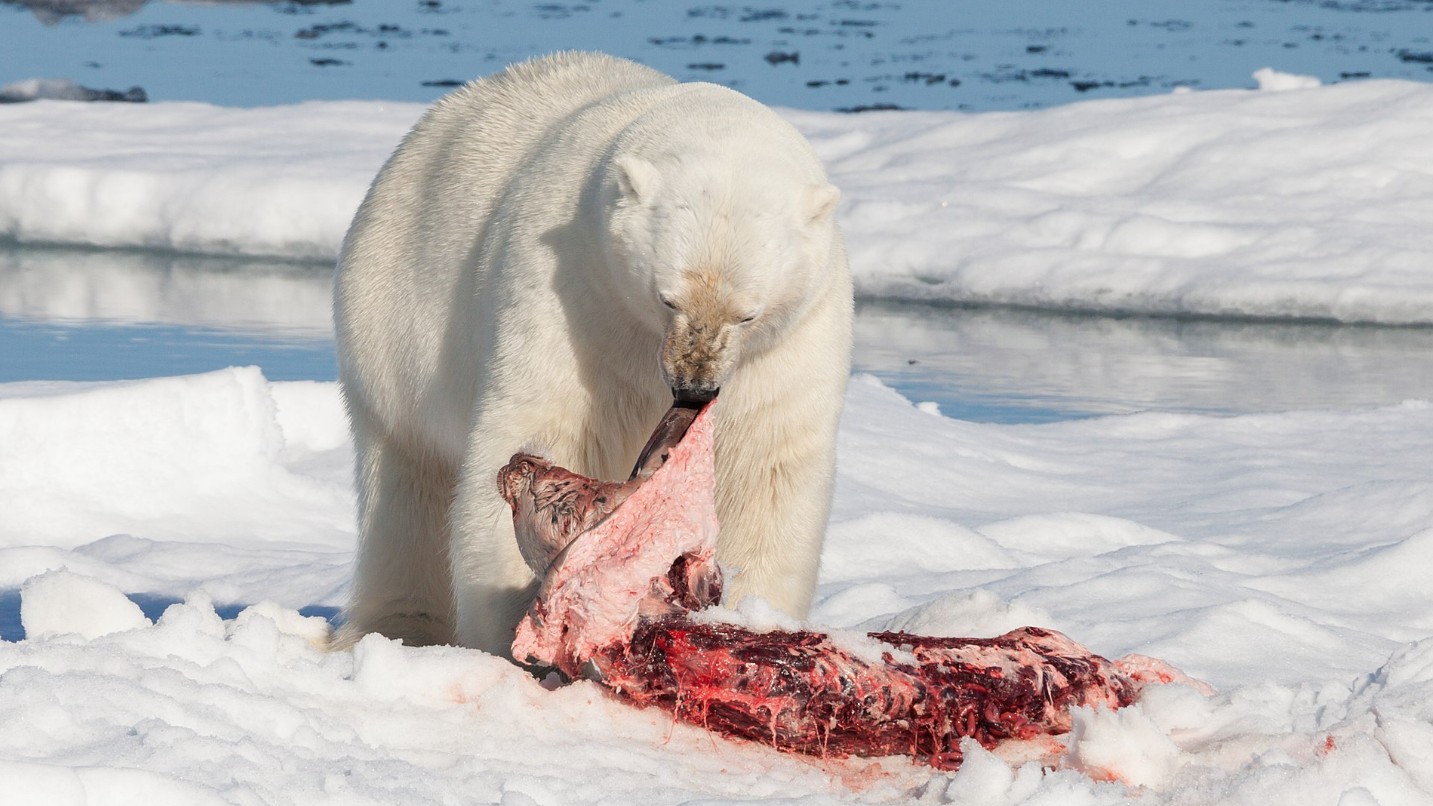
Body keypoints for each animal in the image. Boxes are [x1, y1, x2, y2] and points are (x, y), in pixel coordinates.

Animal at [330, 51, 853, 656]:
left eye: (748, 314)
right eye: (666, 297)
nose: (693, 388)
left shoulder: (796, 336)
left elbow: (767, 465)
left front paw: (751, 616)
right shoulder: (574, 294)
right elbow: (544, 426)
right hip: (389, 317)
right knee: (405, 486)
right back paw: (400, 627)